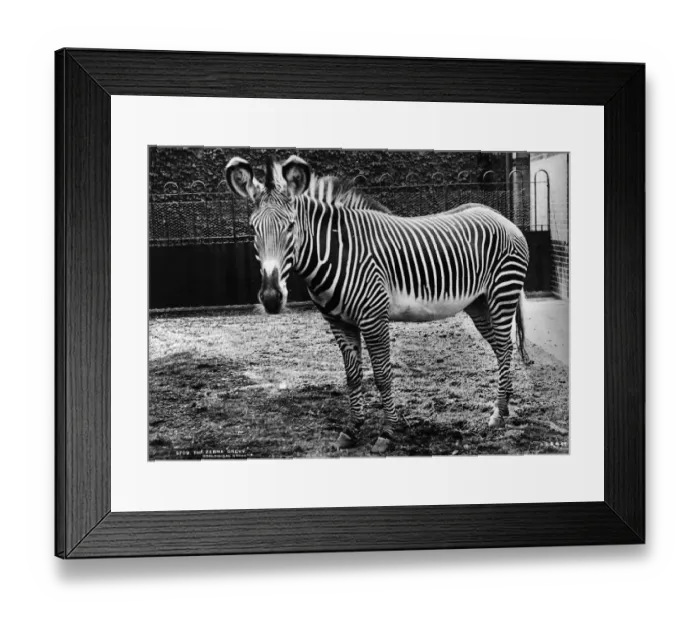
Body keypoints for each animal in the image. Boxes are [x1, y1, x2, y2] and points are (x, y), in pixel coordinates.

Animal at [225, 154, 531, 454]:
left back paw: (499, 414)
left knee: (505, 348)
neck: (338, 251)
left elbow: (382, 375)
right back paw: (503, 408)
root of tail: (499, 215)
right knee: (501, 348)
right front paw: (351, 429)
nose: (271, 298)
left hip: (502, 293)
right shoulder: (339, 322)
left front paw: (387, 432)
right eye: (253, 229)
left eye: (290, 227)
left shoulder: (374, 317)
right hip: (479, 304)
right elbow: (352, 376)